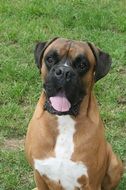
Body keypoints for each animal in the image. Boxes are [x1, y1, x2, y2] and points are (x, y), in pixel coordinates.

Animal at [24, 37, 123, 189]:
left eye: (82, 65)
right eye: (50, 59)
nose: (64, 71)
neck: (64, 121)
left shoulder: (91, 183)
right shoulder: (39, 174)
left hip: (115, 164)